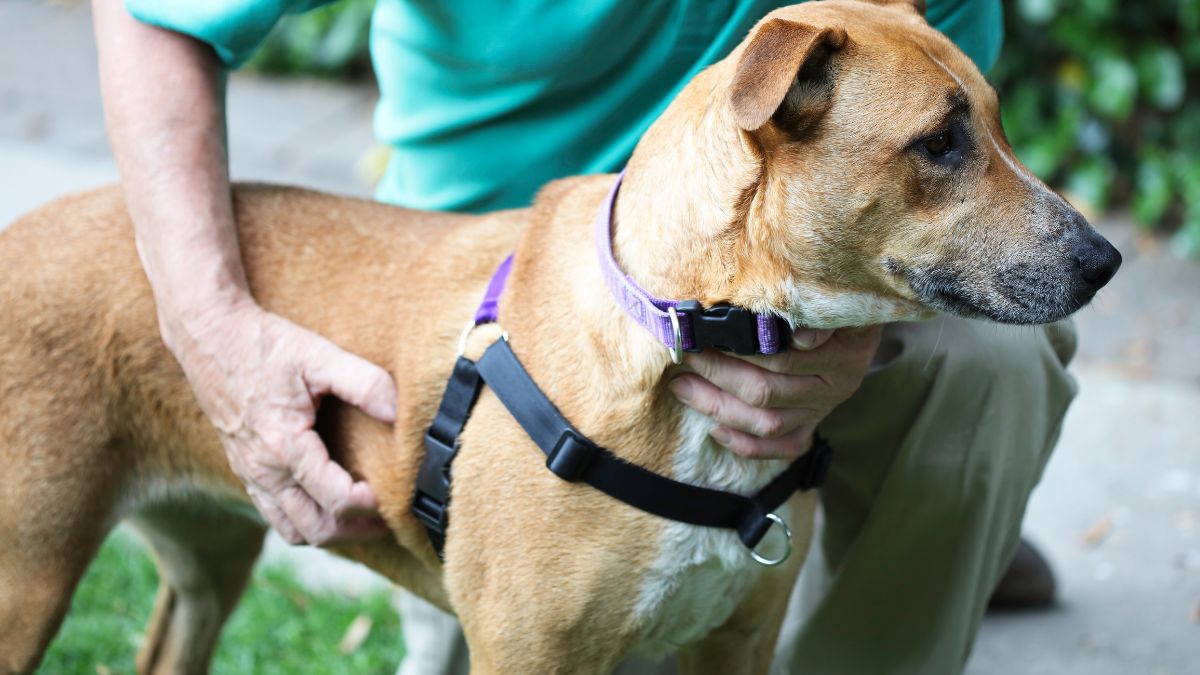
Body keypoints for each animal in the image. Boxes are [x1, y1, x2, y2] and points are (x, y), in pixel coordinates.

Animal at [4, 2, 1118, 667]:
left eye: (998, 123)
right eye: (938, 143)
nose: (1105, 262)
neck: (678, 333)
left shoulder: (735, 642)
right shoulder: (528, 651)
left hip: (209, 552)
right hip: (29, 580)